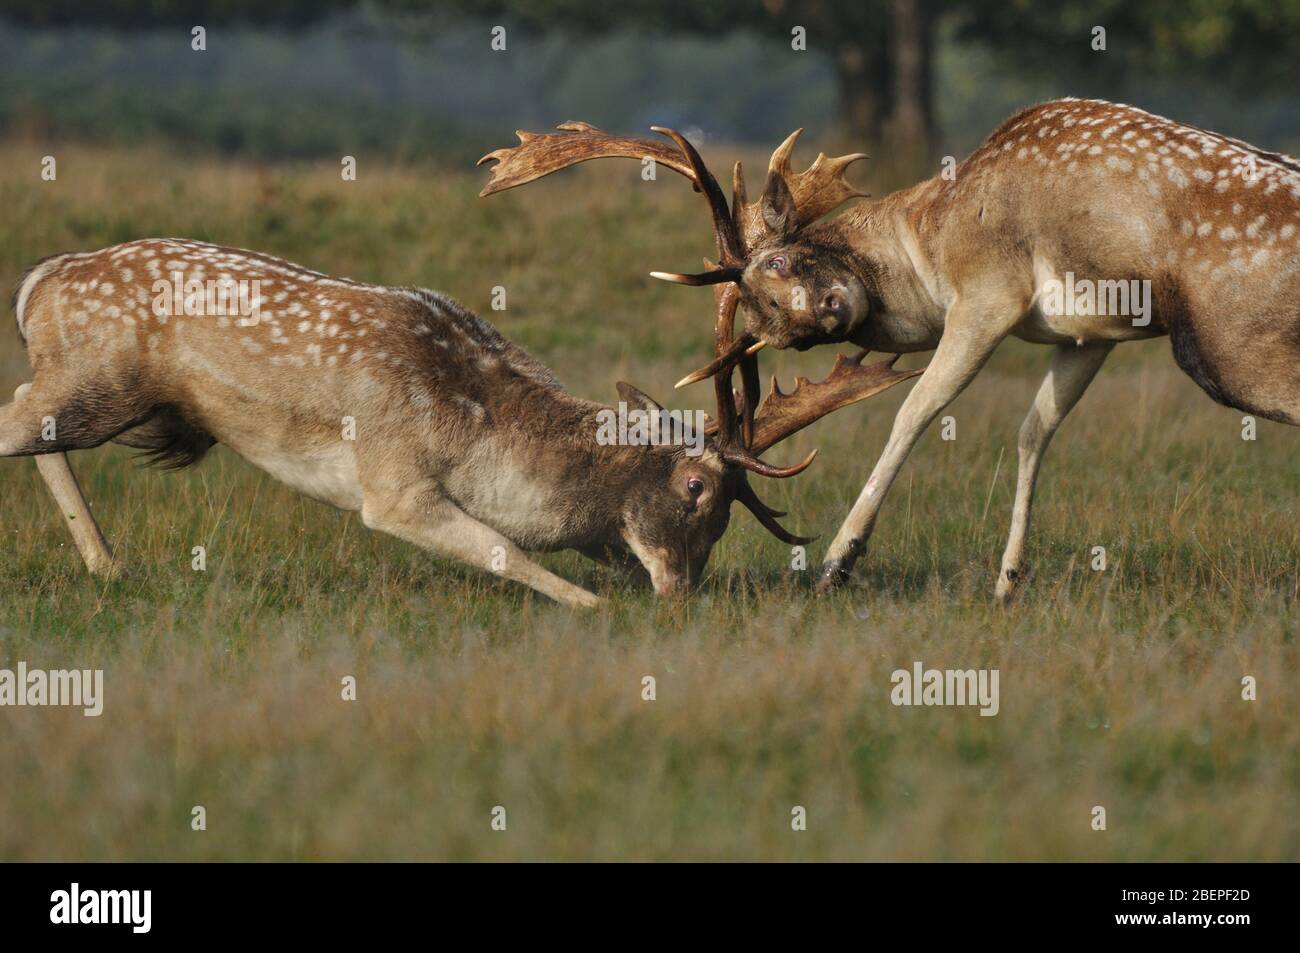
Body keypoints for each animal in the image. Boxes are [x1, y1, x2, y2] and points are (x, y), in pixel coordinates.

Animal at [2, 224, 915, 603]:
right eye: (697, 491)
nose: (682, 593)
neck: (482, 433)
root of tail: (37, 283)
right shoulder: (393, 482)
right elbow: (512, 556)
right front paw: (600, 611)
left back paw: (108, 566)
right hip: (97, 381)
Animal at [488, 102, 1300, 603]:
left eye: (781, 264)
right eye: (768, 323)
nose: (823, 310)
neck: (933, 240)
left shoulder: (988, 293)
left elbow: (913, 411)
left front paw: (837, 562)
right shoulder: (1086, 334)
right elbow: (1034, 430)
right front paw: (1007, 581)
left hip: (1226, 343)